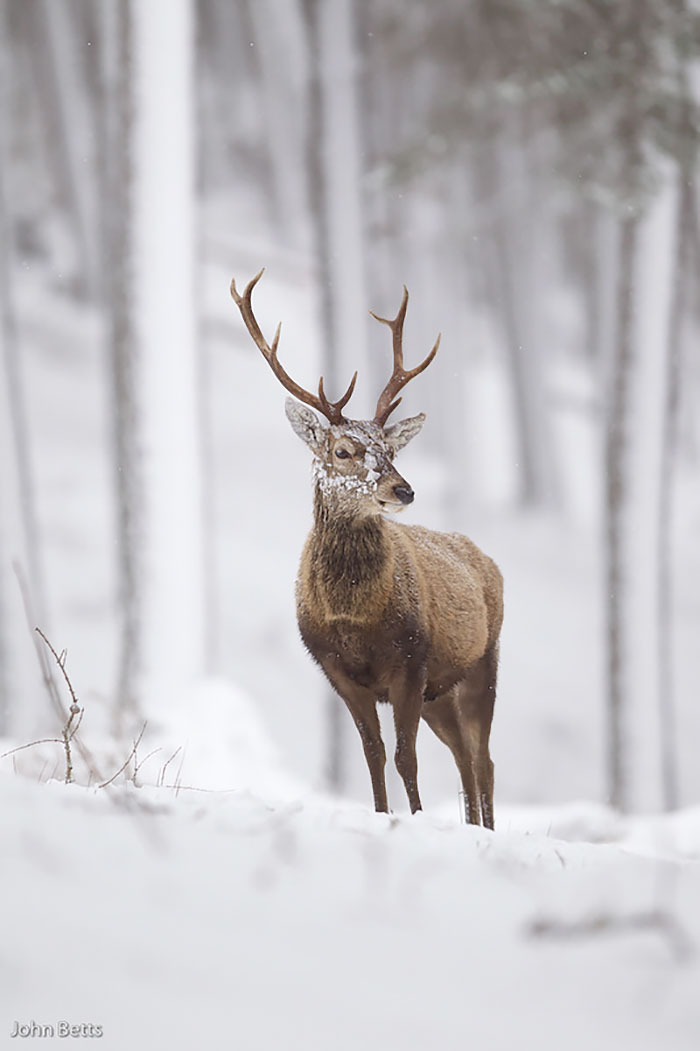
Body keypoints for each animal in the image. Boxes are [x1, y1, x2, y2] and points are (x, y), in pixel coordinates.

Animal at [230, 270, 504, 827]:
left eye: (391, 448)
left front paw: (415, 818)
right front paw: (383, 815)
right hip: (441, 692)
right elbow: (373, 752)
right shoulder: (336, 668)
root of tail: (488, 560)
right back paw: (472, 824)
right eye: (343, 450)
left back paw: (486, 826)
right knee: (463, 755)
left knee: (483, 757)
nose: (404, 490)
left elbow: (405, 755)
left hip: (484, 661)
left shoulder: (412, 660)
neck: (355, 619)